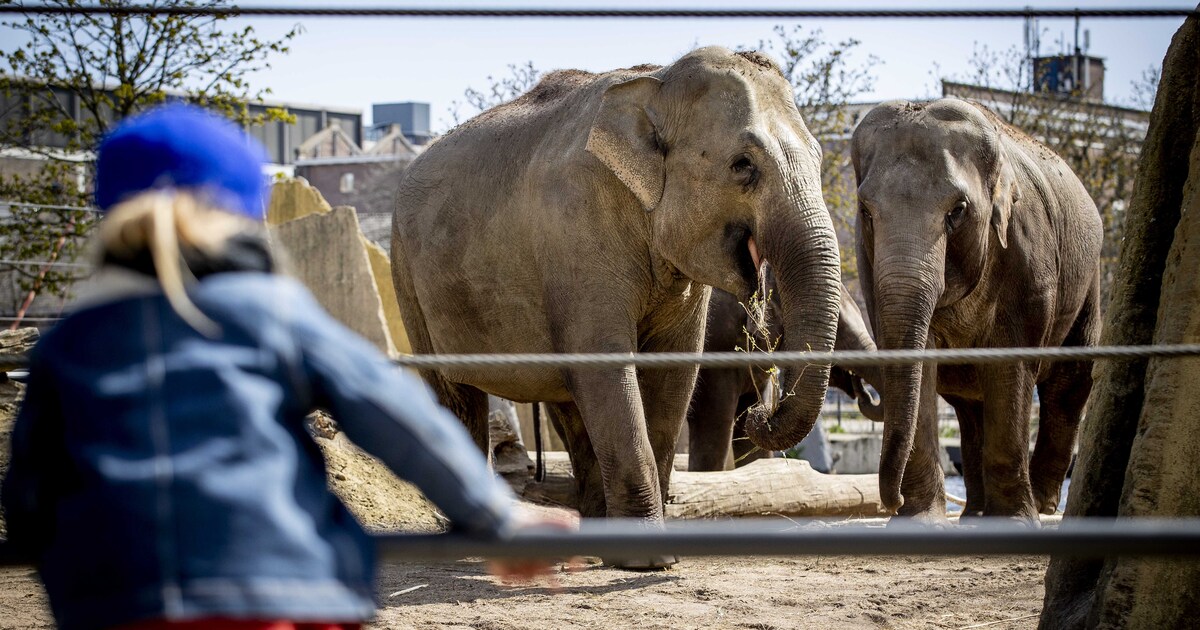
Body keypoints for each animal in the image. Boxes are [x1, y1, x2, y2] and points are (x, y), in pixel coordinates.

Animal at [388, 48, 840, 535]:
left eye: (819, 158)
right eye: (743, 165)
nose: (758, 413)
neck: (656, 82)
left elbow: (673, 373)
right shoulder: (575, 229)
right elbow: (605, 369)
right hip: (406, 274)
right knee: (457, 397)